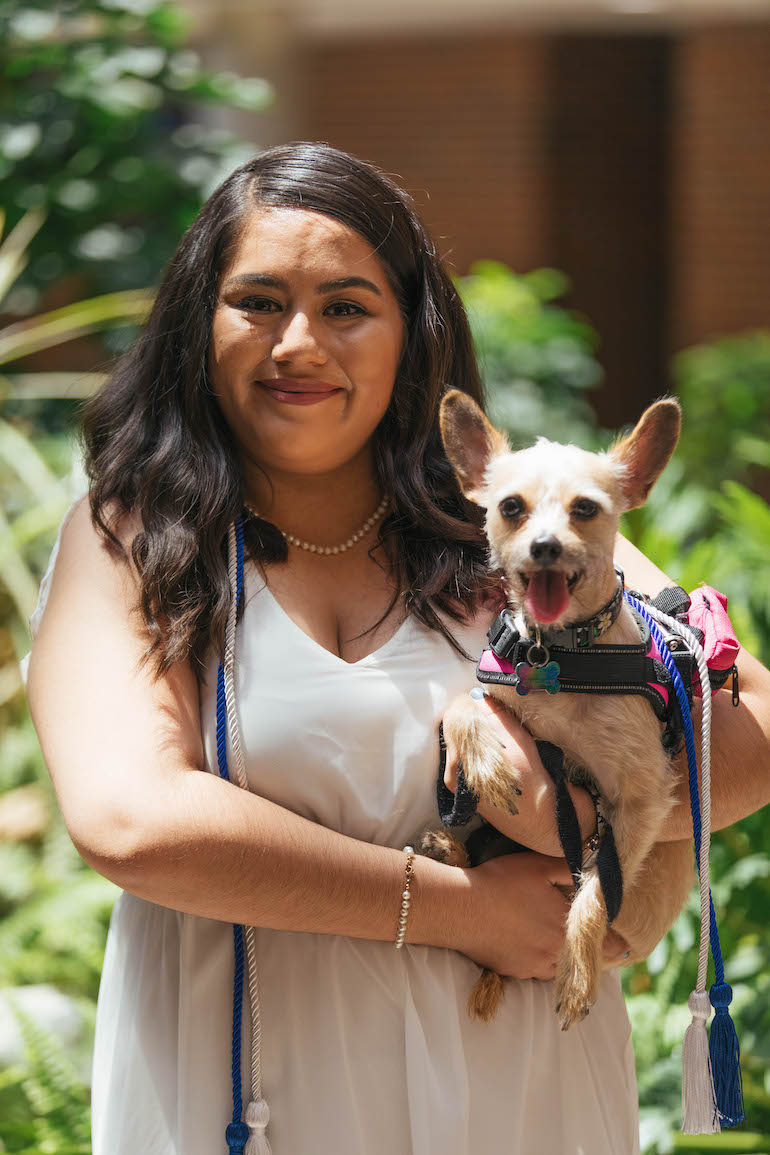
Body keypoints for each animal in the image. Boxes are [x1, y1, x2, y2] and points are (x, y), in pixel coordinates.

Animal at [424, 392, 697, 1034]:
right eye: (511, 507)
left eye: (585, 509)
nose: (545, 546)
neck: (560, 655)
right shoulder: (499, 692)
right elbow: (462, 706)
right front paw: (488, 763)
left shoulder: (640, 800)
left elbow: (598, 888)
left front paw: (577, 969)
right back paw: (450, 851)